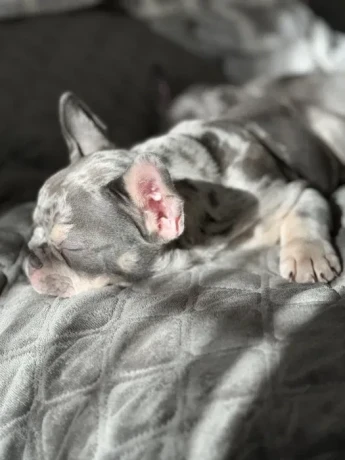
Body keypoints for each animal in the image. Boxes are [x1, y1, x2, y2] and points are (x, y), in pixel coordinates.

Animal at [24, 73, 344, 296]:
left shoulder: (293, 190)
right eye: (34, 230)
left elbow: (305, 211)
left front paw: (307, 255)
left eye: (73, 249)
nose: (30, 256)